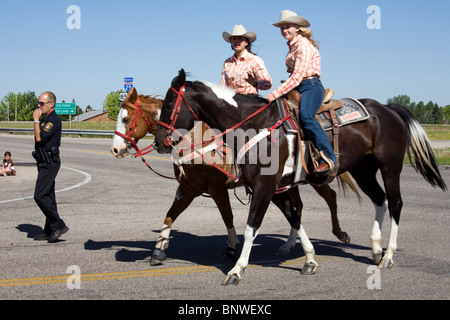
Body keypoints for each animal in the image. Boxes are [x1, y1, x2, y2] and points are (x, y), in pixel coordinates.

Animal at [112, 87, 358, 264]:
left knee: (330, 197)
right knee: (298, 207)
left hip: (314, 177)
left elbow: (227, 216)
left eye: (126, 119)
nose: (115, 149)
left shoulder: (217, 188)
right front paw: (159, 249)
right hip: (289, 183)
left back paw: (341, 234)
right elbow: (170, 215)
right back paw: (289, 245)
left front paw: (231, 249)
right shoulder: (188, 188)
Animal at [154, 69, 446, 284]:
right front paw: (310, 260)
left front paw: (237, 270)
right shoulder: (274, 188)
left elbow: (251, 227)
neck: (253, 125)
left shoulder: (264, 186)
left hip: (390, 167)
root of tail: (387, 108)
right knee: (379, 200)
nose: (158, 142)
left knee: (395, 203)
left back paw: (388, 256)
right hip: (363, 169)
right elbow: (294, 217)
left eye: (167, 104)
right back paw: (375, 248)